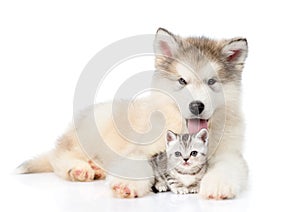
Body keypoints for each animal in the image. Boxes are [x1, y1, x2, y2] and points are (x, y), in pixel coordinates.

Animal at [17, 28, 250, 200]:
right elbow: (137, 163)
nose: (196, 106)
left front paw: (218, 185)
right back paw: (79, 168)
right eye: (182, 81)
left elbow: (227, 166)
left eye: (212, 82)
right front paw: (126, 183)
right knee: (58, 155)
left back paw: (96, 168)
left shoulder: (231, 154)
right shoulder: (142, 149)